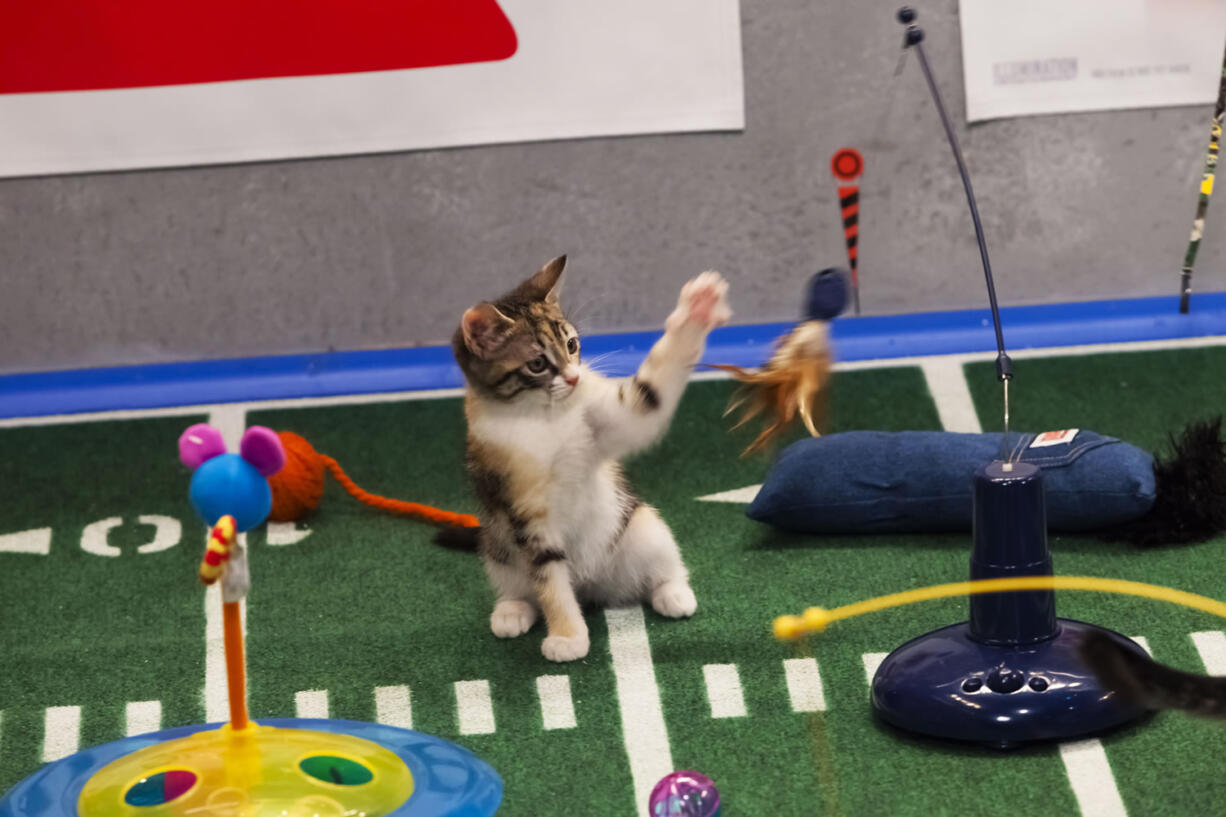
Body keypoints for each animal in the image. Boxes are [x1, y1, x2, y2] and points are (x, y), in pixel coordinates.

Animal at [446, 256, 725, 662]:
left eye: (572, 344)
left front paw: (698, 308)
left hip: (641, 525)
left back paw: (673, 592)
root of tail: (591, 585)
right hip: (497, 544)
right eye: (537, 364)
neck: (545, 418)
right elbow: (549, 579)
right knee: (523, 584)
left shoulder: (612, 418)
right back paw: (512, 610)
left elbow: (649, 396)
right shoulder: (524, 511)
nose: (575, 377)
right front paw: (568, 637)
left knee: (662, 564)